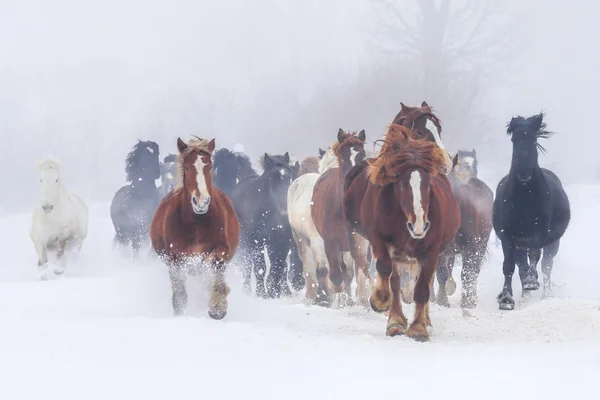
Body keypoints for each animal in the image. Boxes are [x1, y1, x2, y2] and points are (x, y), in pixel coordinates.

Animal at [149, 136, 239, 320]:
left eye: (210, 166)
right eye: (186, 167)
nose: (201, 201)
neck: (196, 222)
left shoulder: (221, 248)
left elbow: (216, 263)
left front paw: (218, 307)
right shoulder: (175, 259)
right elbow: (180, 296)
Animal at [233, 152, 300, 298]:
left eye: (290, 178)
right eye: (272, 178)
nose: (285, 211)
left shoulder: (282, 242)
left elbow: (278, 266)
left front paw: (275, 292)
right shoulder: (257, 241)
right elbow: (260, 267)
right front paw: (262, 293)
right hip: (245, 244)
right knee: (247, 267)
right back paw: (247, 290)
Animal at [310, 128, 370, 306]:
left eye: (362, 155)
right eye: (343, 156)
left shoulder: (359, 240)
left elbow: (362, 268)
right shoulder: (330, 242)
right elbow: (336, 277)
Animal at [342, 126, 460, 340]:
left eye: (429, 185)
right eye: (402, 184)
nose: (419, 226)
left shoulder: (431, 252)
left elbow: (422, 288)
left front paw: (419, 328)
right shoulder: (380, 241)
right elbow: (385, 271)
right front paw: (380, 302)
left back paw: (424, 321)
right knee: (395, 282)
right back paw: (395, 322)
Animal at [492, 114, 572, 310]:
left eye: (534, 140)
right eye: (514, 139)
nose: (523, 172)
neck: (525, 197)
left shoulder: (540, 231)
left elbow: (536, 255)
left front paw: (531, 281)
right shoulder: (508, 235)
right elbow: (509, 266)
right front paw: (506, 299)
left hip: (553, 242)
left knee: (546, 265)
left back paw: (545, 294)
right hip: (520, 244)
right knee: (522, 264)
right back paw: (525, 297)